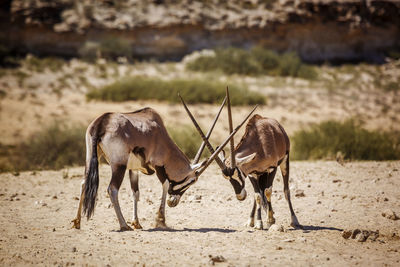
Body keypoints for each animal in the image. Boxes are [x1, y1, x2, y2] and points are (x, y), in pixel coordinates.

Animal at [70, 105, 256, 231]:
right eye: (193, 180)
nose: (173, 202)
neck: (160, 134)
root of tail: (103, 121)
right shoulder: (158, 165)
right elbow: (165, 184)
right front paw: (160, 219)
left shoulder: (133, 169)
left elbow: (135, 192)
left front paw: (137, 223)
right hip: (118, 165)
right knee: (112, 189)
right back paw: (123, 225)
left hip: (91, 157)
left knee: (83, 183)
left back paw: (77, 222)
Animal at [180, 89, 300, 231]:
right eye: (226, 178)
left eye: (237, 174)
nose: (240, 196)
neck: (260, 143)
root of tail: (278, 126)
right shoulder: (252, 173)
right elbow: (258, 195)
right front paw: (258, 222)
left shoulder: (272, 168)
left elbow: (268, 191)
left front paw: (270, 220)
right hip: (260, 174)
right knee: (258, 194)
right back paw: (251, 220)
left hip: (284, 162)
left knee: (286, 190)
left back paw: (294, 220)